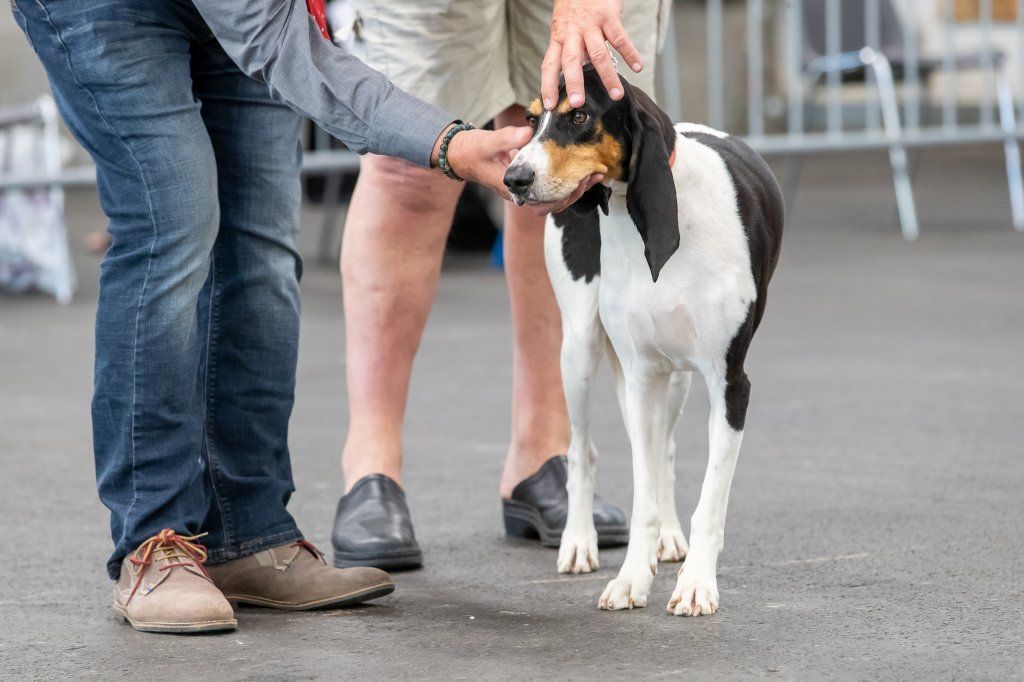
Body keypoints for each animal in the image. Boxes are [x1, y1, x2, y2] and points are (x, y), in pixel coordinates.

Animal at [503, 66, 782, 614]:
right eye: (530, 119)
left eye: (580, 116)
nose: (514, 178)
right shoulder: (641, 377)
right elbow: (642, 495)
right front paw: (632, 577)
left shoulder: (728, 384)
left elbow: (707, 499)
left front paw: (695, 583)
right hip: (580, 352)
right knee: (582, 452)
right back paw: (579, 541)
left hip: (675, 381)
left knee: (666, 453)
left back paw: (669, 541)